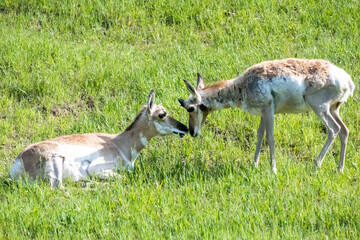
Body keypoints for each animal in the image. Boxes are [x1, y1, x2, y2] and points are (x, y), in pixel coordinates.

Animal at [9, 89, 188, 188]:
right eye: (162, 114)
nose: (185, 128)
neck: (119, 143)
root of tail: (18, 161)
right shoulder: (96, 168)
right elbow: (123, 178)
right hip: (56, 160)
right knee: (59, 188)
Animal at [177, 58, 354, 174]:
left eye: (190, 108)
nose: (191, 132)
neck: (242, 86)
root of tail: (347, 81)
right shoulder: (262, 112)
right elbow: (260, 135)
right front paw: (254, 165)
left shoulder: (269, 109)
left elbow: (270, 137)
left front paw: (273, 169)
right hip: (334, 109)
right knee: (344, 130)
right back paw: (339, 169)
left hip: (319, 107)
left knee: (334, 129)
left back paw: (315, 166)